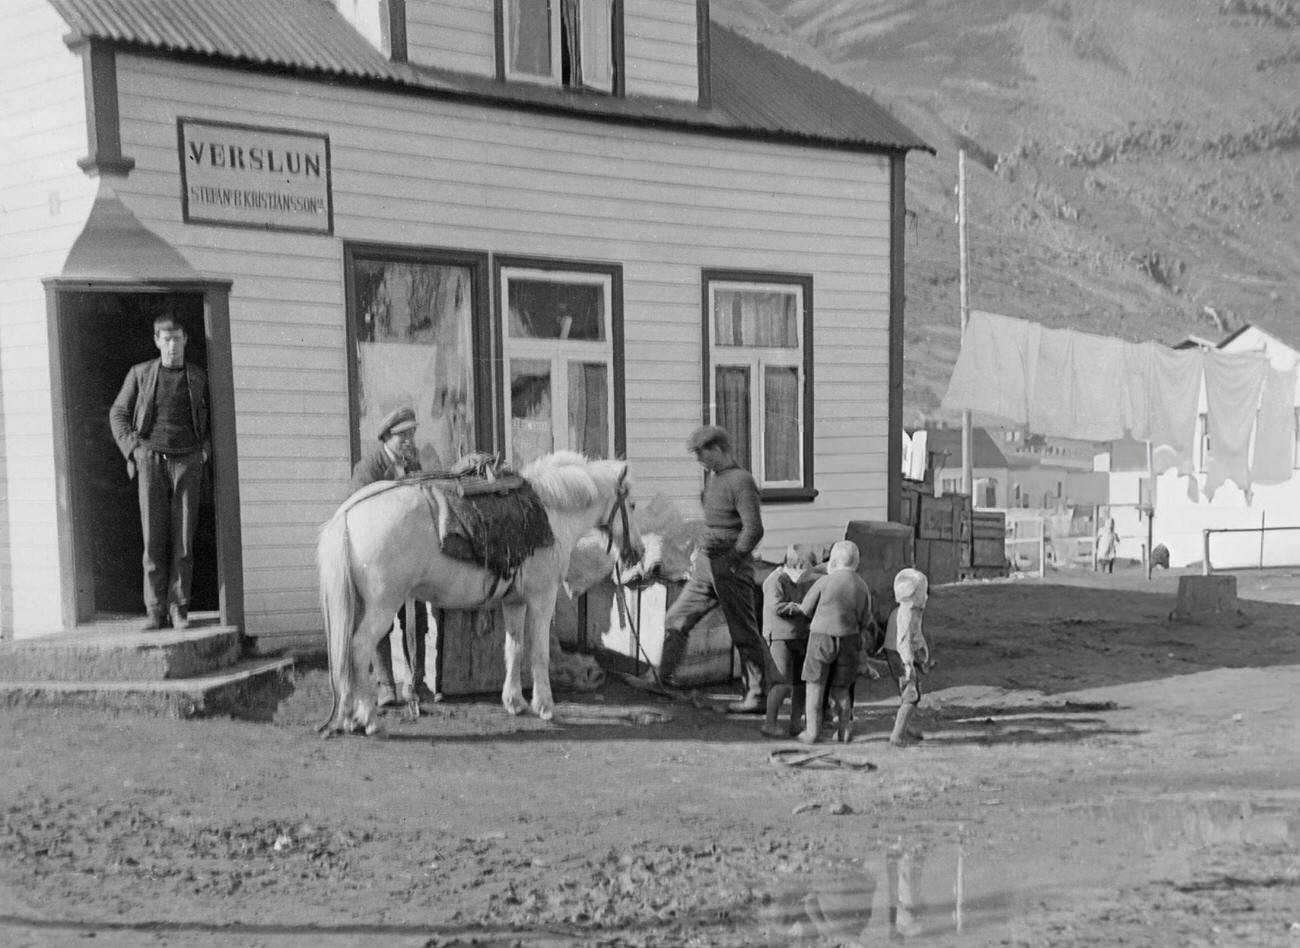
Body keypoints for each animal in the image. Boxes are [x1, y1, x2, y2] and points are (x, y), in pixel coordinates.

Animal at [314, 449, 639, 733]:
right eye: (633, 505)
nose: (637, 553)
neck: (550, 512)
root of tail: (348, 514)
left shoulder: (515, 602)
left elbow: (514, 649)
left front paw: (515, 702)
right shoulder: (542, 598)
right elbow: (539, 654)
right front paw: (545, 707)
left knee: (348, 653)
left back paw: (352, 717)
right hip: (383, 606)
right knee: (359, 648)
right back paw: (368, 719)